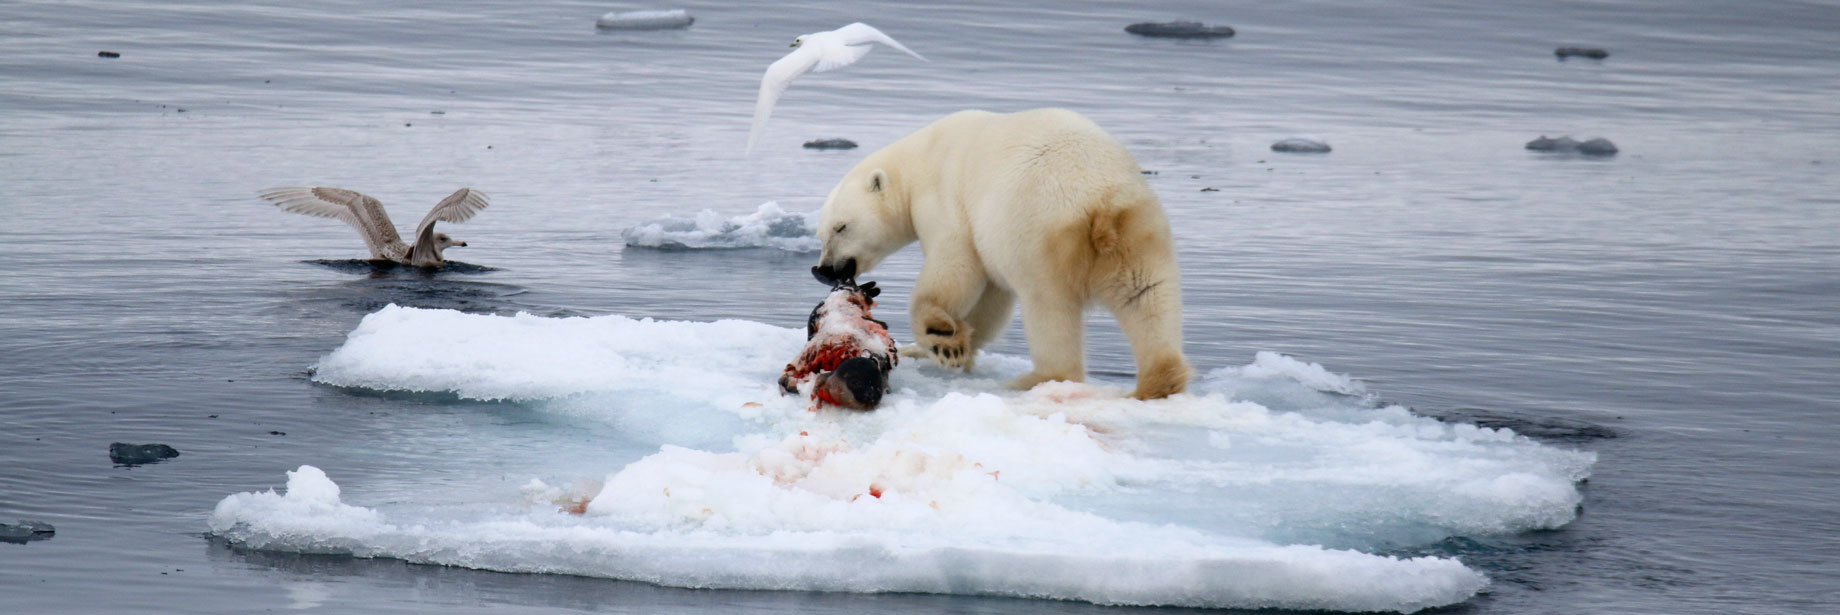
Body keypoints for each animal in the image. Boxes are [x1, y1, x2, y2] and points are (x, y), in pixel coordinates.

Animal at [810, 108, 1190, 400]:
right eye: (821, 232)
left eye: (841, 227)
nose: (824, 270)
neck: (918, 161)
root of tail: (1101, 206)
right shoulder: (989, 238)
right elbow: (991, 298)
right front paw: (949, 347)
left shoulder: (946, 200)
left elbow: (954, 268)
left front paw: (941, 340)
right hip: (1139, 229)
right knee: (1146, 296)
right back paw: (1161, 379)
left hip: (1041, 230)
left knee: (1048, 305)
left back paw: (1034, 379)